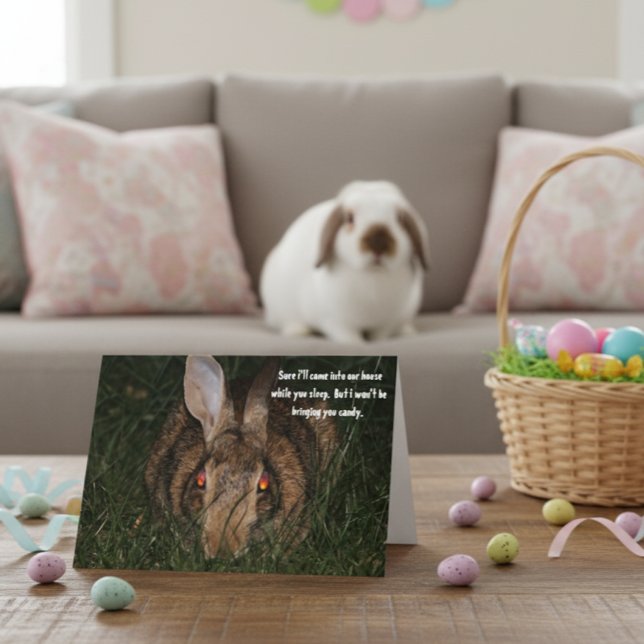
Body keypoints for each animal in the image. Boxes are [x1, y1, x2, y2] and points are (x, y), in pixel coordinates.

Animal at [260, 181, 430, 343]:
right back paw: (298, 331)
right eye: (349, 218)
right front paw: (355, 344)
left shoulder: (387, 323)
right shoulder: (336, 322)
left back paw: (407, 331)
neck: (372, 277)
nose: (378, 244)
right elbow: (349, 338)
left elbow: (381, 336)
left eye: (400, 219)